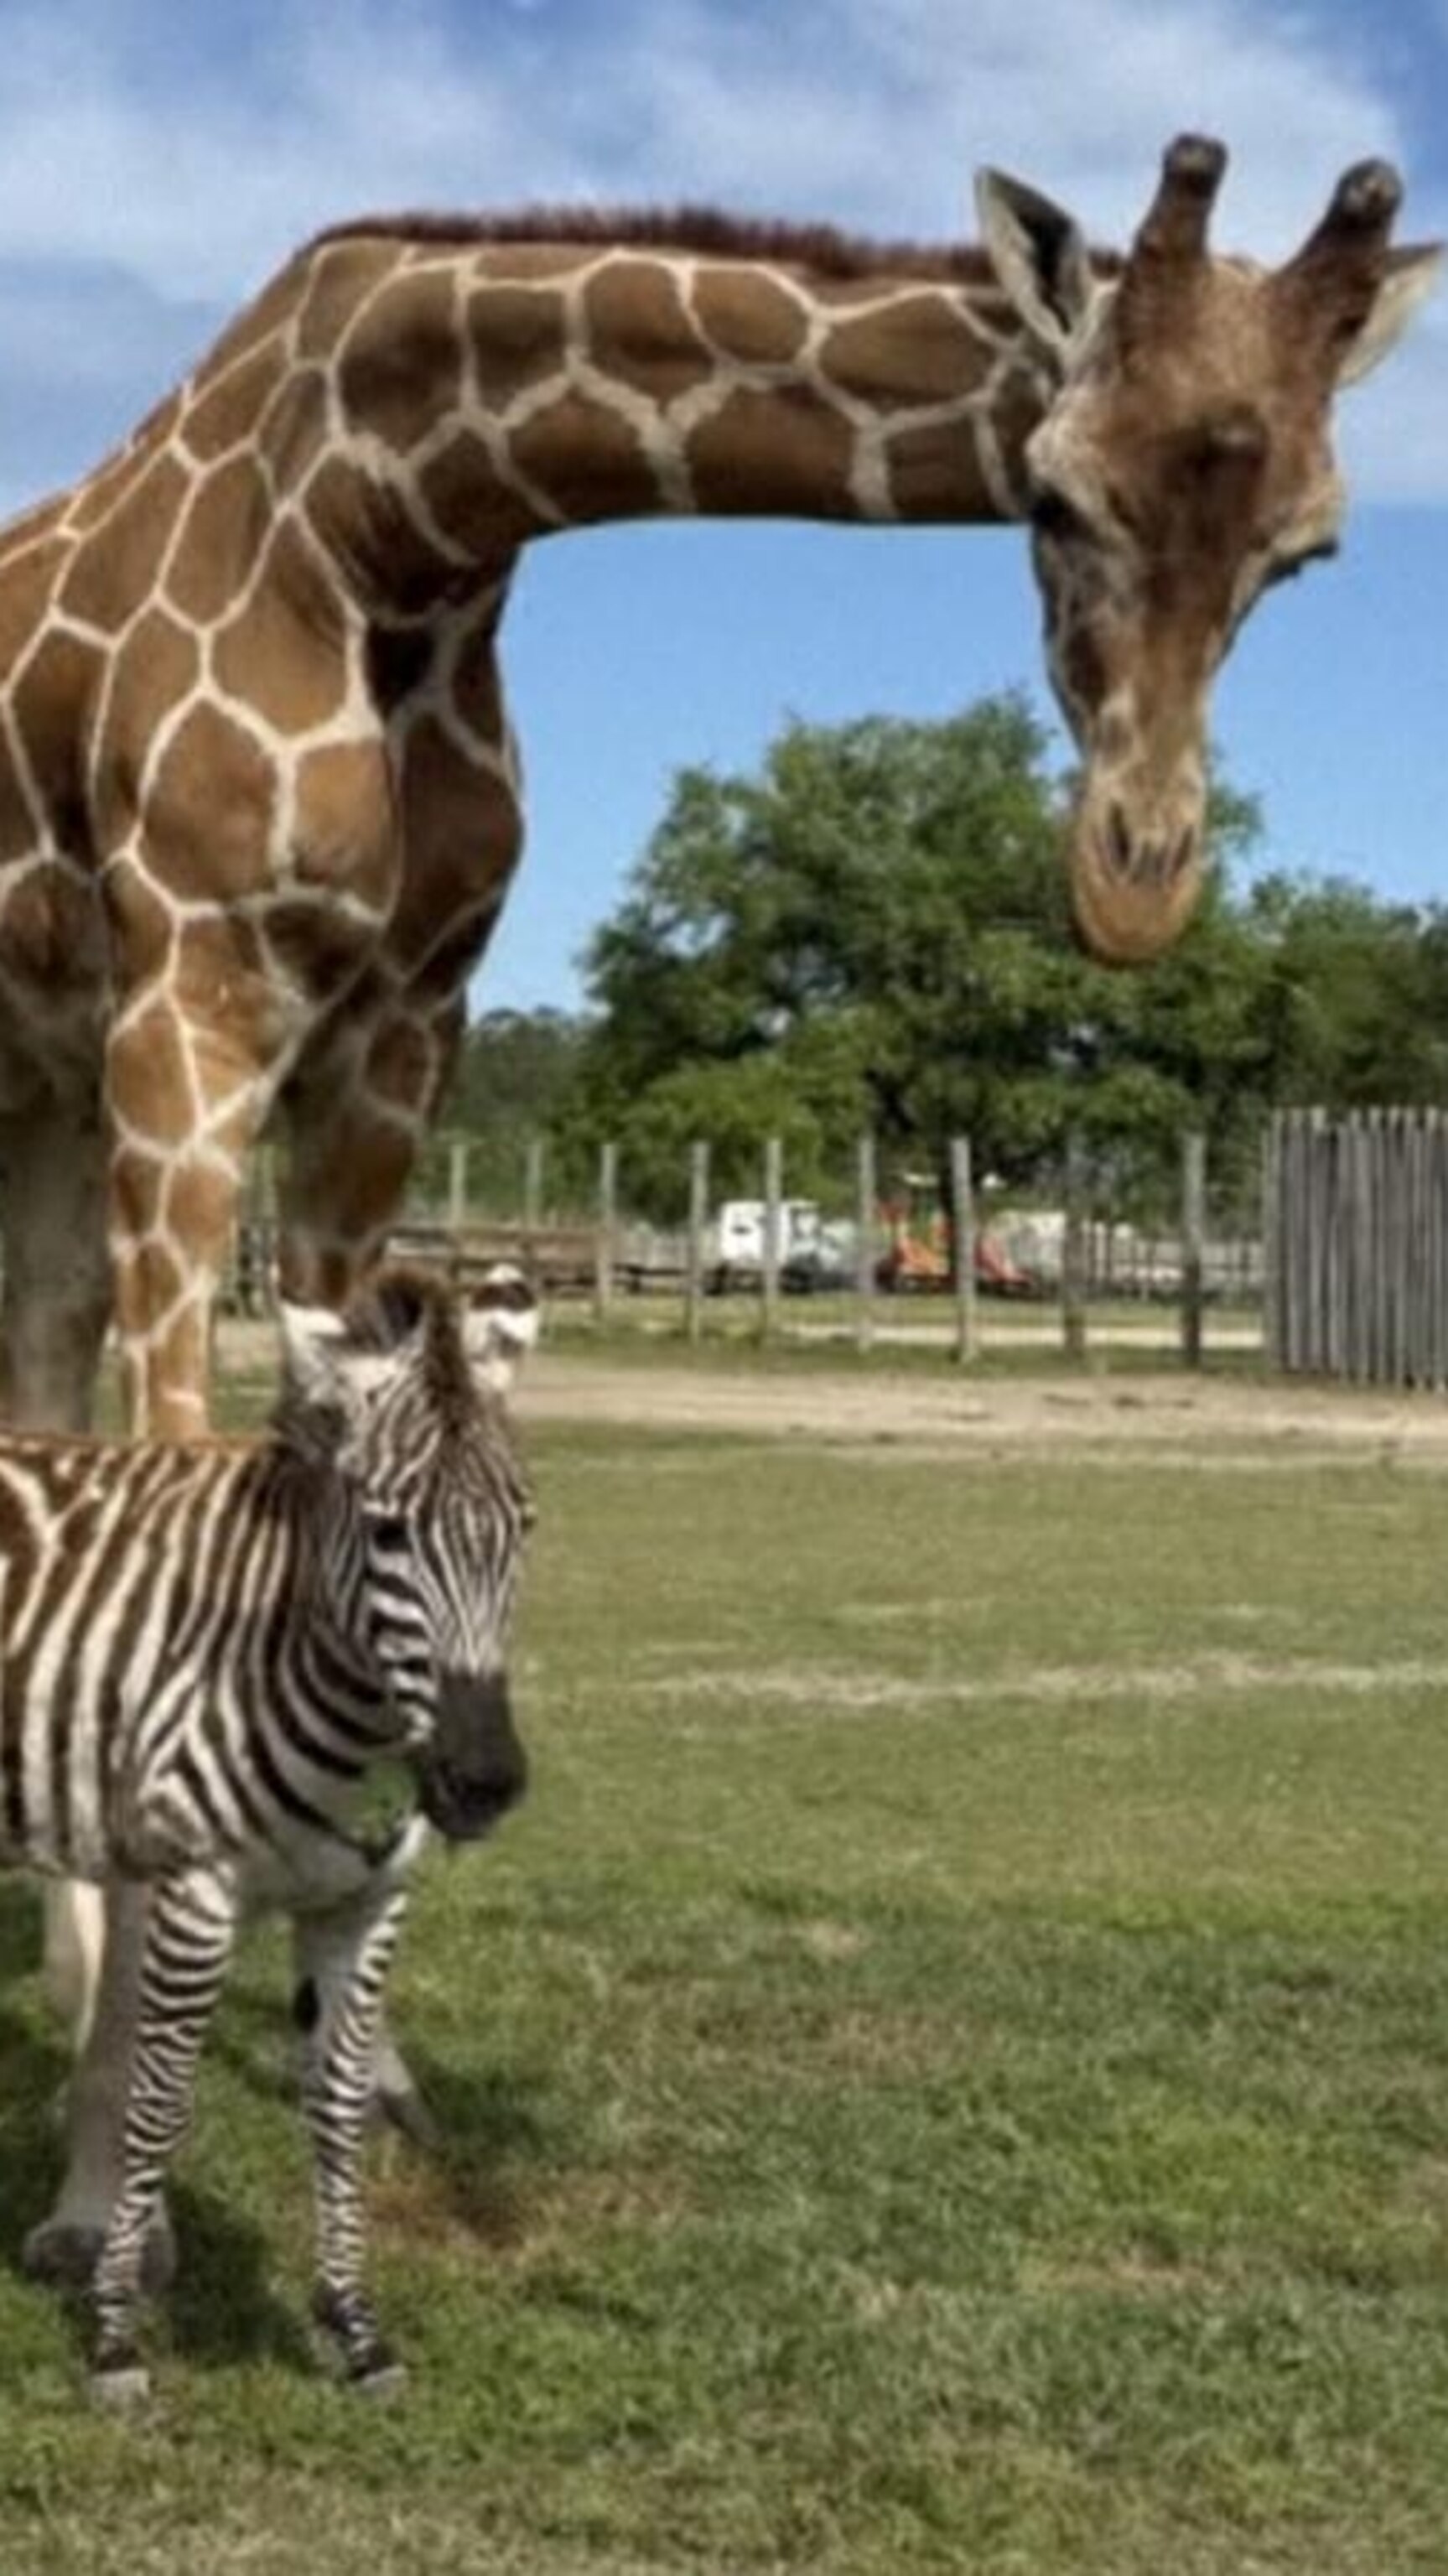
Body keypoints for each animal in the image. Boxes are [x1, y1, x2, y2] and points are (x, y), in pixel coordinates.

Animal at [0, 1260, 537, 2404]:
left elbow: (335, 2105)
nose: (481, 1782)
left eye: (522, 1528)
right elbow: (157, 2105)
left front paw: (354, 2327)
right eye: (387, 1531)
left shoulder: (362, 1906)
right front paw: (115, 2336)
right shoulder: (193, 1893)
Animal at [7, 135, 1437, 2283]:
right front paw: (106, 2187)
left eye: (1313, 547)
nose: (1132, 882)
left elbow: (326, 1447)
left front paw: (359, 2044)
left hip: (37, 1085)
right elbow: (185, 1462)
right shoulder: (194, 995)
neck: (399, 518)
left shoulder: (394, 1030)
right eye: (1050, 490)